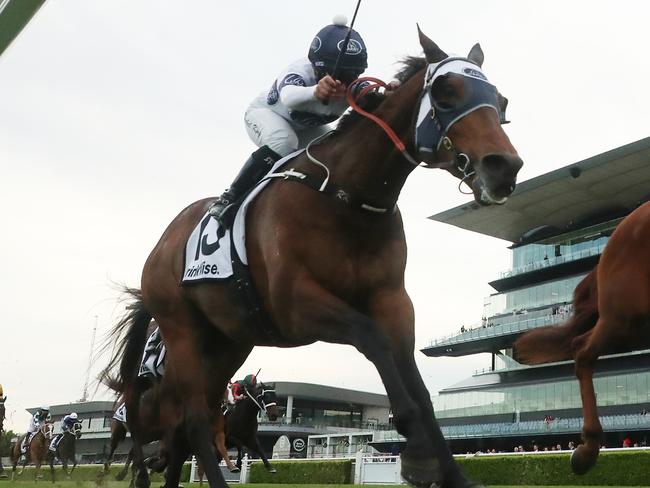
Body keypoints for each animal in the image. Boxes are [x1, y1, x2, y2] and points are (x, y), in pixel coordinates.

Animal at [106, 28, 520, 488]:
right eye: (447, 93)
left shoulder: (392, 299)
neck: (346, 197)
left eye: (501, 102)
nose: (505, 166)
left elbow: (418, 384)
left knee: (186, 425)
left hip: (229, 342)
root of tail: (160, 248)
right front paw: (416, 451)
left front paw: (450, 472)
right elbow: (372, 338)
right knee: (193, 420)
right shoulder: (296, 305)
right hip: (181, 332)